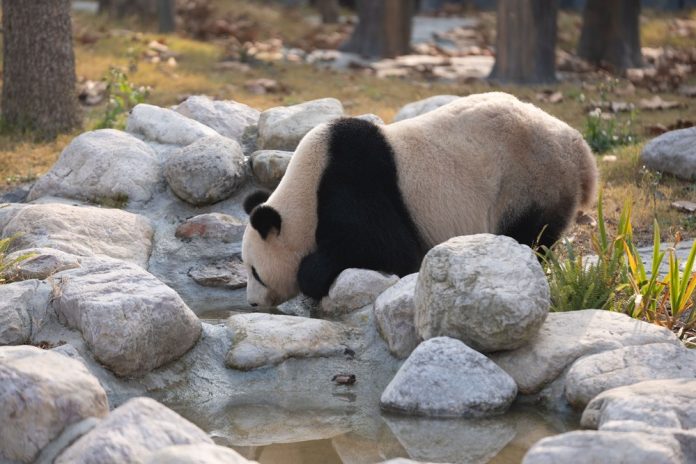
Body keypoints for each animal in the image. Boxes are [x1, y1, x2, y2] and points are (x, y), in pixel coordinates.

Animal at [242, 92, 598, 307]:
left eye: (255, 272)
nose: (252, 302)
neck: (305, 190)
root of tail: (579, 149)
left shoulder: (352, 183)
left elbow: (392, 251)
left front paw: (313, 273)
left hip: (529, 181)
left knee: (530, 234)